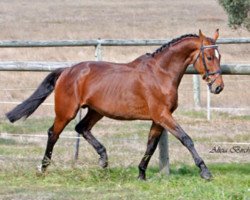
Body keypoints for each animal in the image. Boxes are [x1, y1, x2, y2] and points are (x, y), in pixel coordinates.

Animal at [6, 29, 225, 180]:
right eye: (208, 57)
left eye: (219, 56)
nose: (218, 87)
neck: (160, 73)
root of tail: (67, 70)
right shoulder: (162, 115)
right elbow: (186, 138)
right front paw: (205, 171)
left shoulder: (158, 118)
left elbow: (151, 145)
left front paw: (141, 174)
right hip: (66, 111)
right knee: (54, 133)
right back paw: (43, 168)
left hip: (96, 111)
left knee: (81, 128)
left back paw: (103, 159)